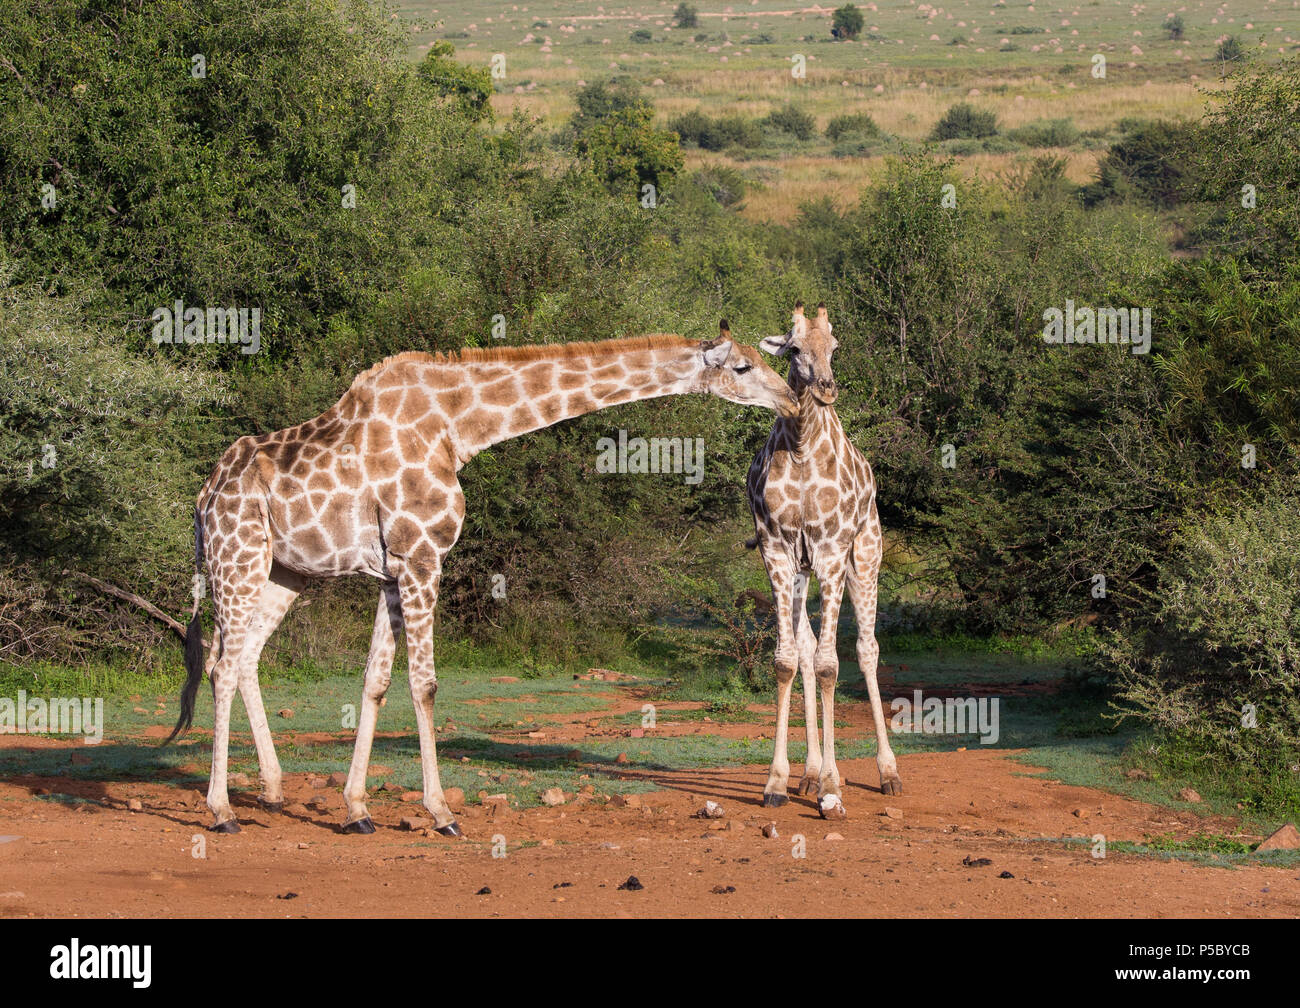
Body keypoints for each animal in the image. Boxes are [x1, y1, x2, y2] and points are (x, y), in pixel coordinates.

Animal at [167, 329, 798, 835]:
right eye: (744, 367)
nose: (791, 399)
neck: (457, 429)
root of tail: (202, 497)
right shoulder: (423, 556)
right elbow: (423, 685)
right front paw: (441, 812)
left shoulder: (393, 569)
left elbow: (375, 682)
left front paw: (357, 810)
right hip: (237, 557)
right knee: (222, 665)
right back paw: (221, 812)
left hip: (284, 570)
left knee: (245, 656)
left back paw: (272, 792)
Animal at [745, 302, 902, 818]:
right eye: (794, 349)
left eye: (834, 347)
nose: (828, 388)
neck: (799, 446)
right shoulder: (777, 549)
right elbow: (787, 660)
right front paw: (777, 781)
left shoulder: (833, 549)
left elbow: (833, 664)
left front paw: (834, 786)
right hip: (803, 570)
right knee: (808, 648)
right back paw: (810, 774)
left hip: (865, 557)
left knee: (867, 649)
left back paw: (887, 773)